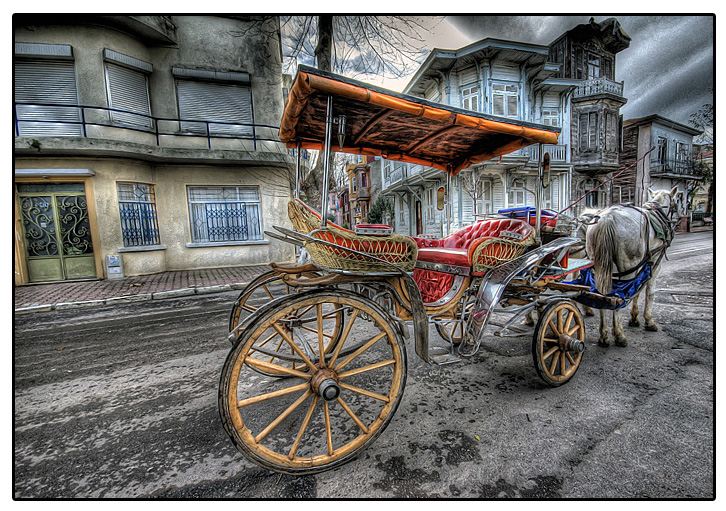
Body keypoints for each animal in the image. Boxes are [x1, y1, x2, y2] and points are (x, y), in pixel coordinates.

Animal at [588, 188, 680, 348]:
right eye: (676, 202)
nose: (676, 220)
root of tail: (607, 218)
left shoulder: (641, 263)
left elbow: (637, 289)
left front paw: (634, 318)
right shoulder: (655, 261)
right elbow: (649, 291)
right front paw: (648, 320)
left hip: (597, 264)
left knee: (601, 294)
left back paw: (604, 334)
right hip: (627, 264)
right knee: (619, 295)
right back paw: (619, 334)